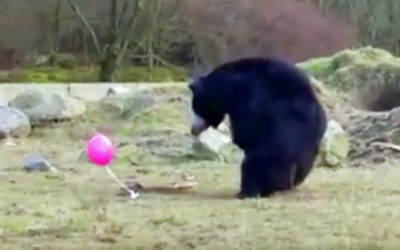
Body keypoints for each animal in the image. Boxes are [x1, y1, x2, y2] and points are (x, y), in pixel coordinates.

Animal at [189, 57, 326, 199]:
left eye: (195, 108)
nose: (193, 129)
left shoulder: (248, 98)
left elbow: (245, 130)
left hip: (275, 153)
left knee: (253, 165)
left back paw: (248, 191)